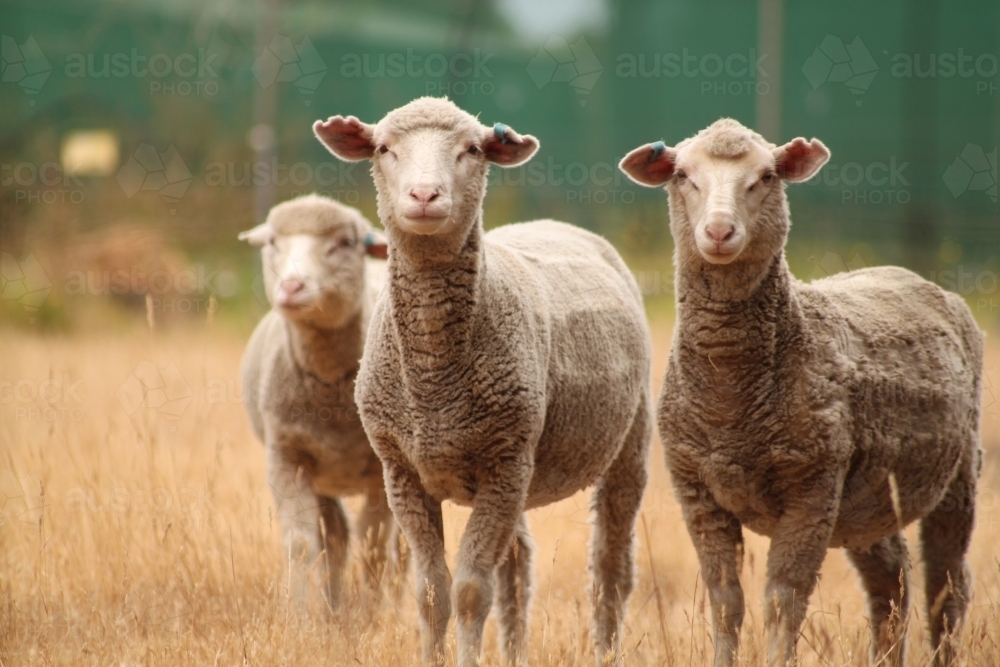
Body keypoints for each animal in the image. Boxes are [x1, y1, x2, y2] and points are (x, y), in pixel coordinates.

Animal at [239, 193, 402, 612]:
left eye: (345, 243)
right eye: (273, 241)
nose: (292, 286)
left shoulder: (383, 467)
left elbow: (376, 546)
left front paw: (373, 618)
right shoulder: (287, 456)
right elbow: (301, 543)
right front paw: (299, 616)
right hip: (323, 475)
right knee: (336, 539)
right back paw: (334, 609)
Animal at [312, 99, 652, 667]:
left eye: (472, 149)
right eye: (383, 148)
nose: (424, 196)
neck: (433, 380)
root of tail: (554, 224)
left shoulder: (503, 462)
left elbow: (472, 591)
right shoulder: (403, 471)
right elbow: (432, 593)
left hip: (624, 441)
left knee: (611, 570)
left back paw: (606, 649)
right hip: (517, 470)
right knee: (517, 569)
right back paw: (515, 653)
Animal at [620, 120, 980, 667]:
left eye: (765, 176)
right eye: (682, 176)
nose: (719, 232)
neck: (730, 402)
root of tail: (907, 274)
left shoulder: (811, 488)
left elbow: (782, 602)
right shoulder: (696, 490)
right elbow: (724, 601)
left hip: (956, 476)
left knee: (947, 587)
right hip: (868, 499)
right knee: (891, 582)